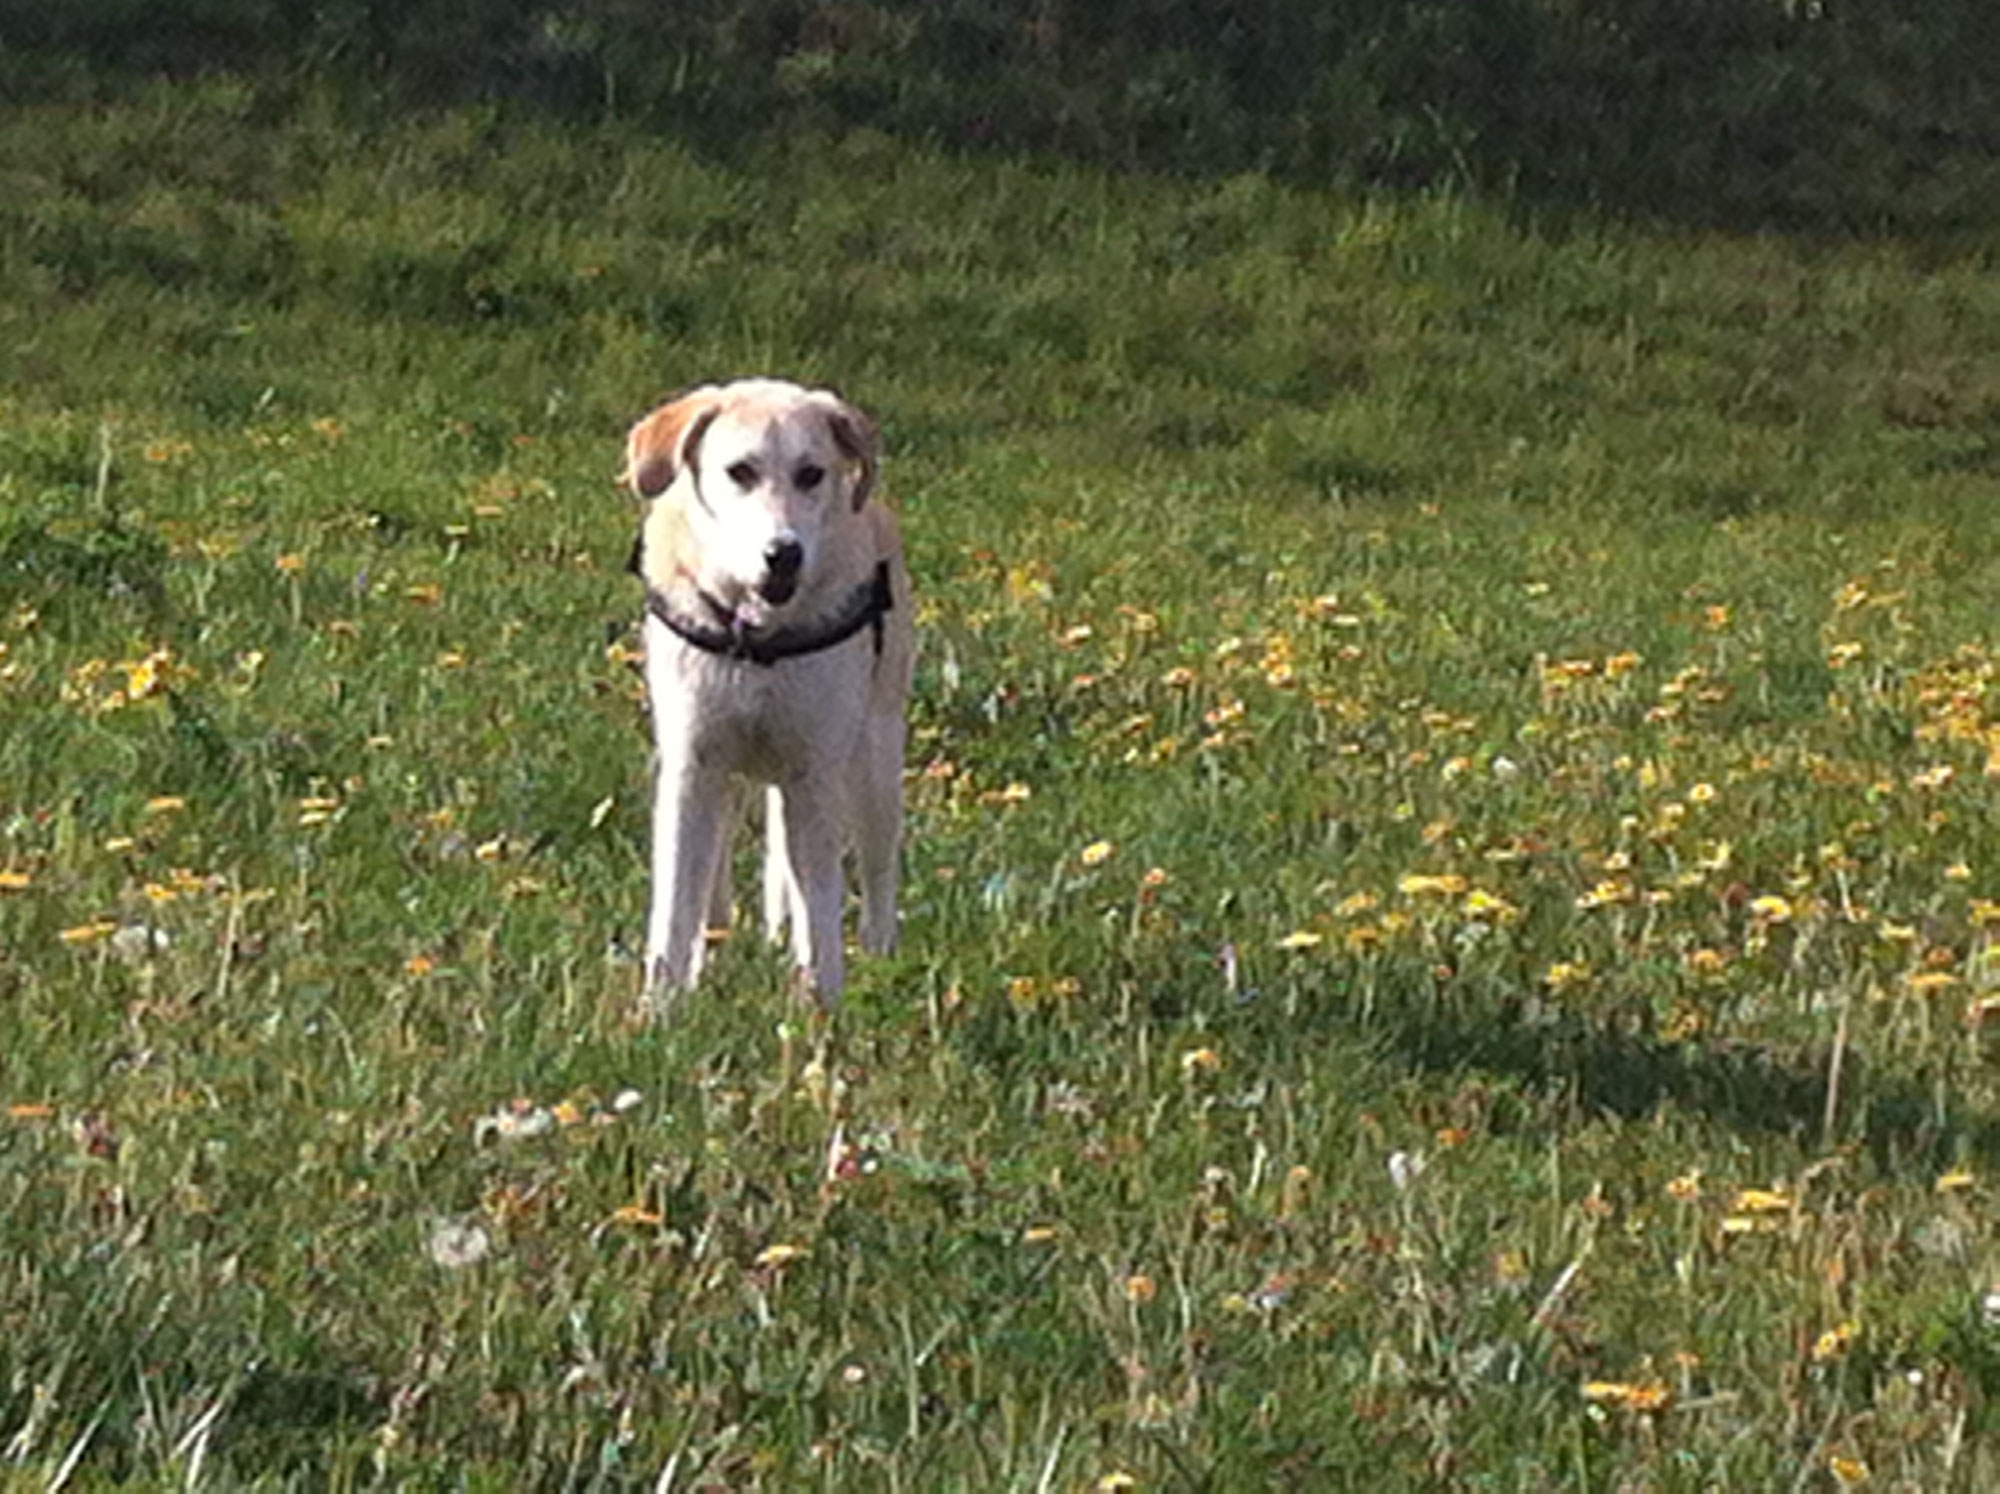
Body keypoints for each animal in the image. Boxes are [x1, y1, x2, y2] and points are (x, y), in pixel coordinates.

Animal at [624, 374, 916, 1012]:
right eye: (740, 471)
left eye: (811, 473)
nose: (783, 553)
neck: (756, 634)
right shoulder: (692, 767)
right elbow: (676, 903)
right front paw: (661, 1006)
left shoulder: (815, 772)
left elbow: (821, 904)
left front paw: (822, 1006)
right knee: (716, 883)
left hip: (875, 763)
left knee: (876, 877)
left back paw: (879, 958)